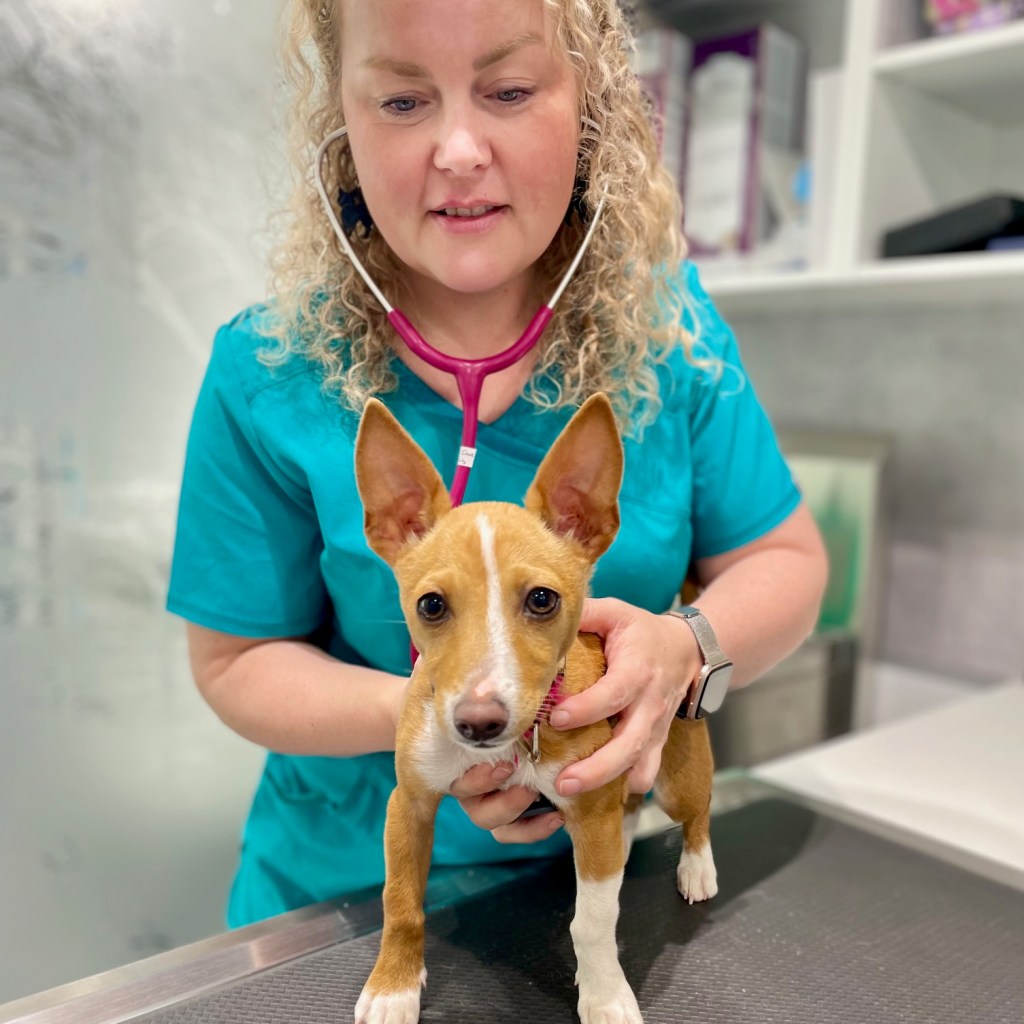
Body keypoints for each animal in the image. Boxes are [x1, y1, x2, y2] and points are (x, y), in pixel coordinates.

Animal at [353, 393, 716, 1024]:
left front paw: (605, 994)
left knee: (696, 814)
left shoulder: (590, 815)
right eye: (431, 605)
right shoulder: (410, 805)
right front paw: (392, 985)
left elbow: (592, 923)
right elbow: (399, 902)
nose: (478, 722)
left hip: (677, 775)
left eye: (542, 599)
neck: (525, 738)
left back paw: (697, 865)